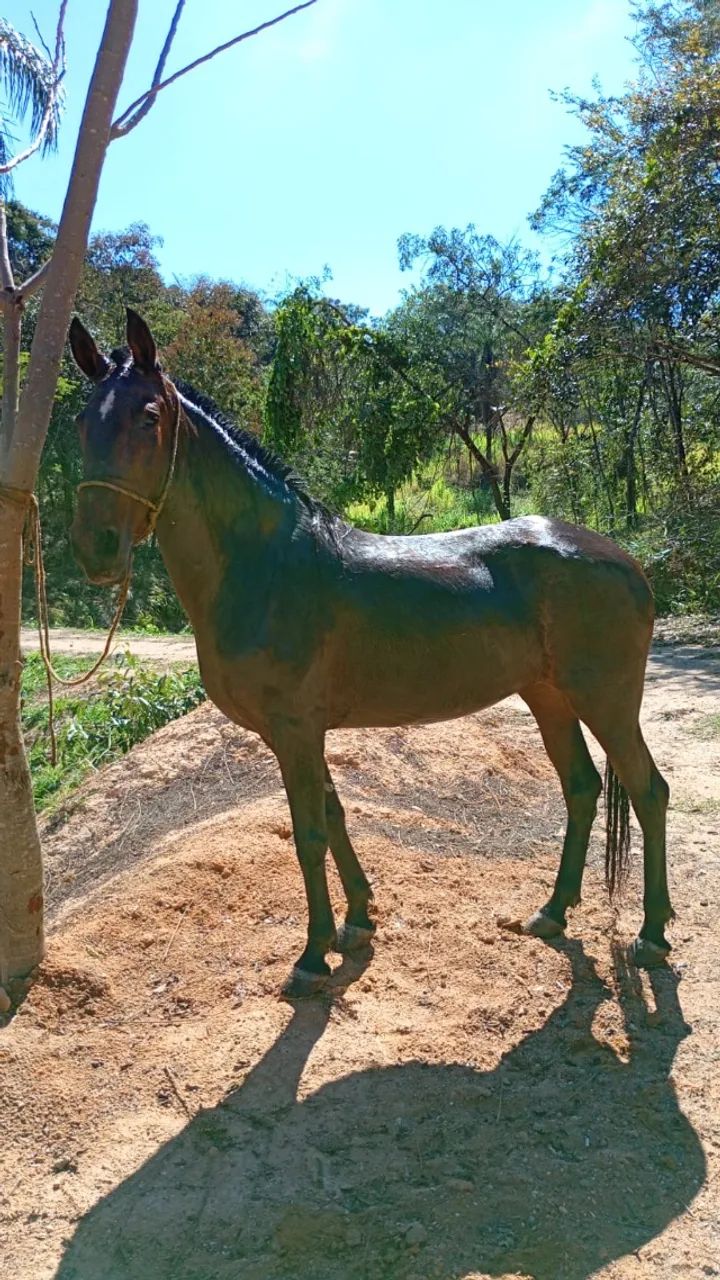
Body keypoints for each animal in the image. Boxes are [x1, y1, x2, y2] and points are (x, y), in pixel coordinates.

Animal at [68, 308, 673, 997]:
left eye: (148, 416)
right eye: (82, 421)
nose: (96, 547)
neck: (266, 567)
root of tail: (626, 561)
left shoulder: (295, 729)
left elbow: (308, 834)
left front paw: (311, 956)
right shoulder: (300, 733)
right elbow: (334, 817)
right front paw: (356, 922)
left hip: (607, 702)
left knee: (648, 791)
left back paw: (653, 936)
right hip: (548, 696)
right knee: (581, 787)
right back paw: (552, 911)